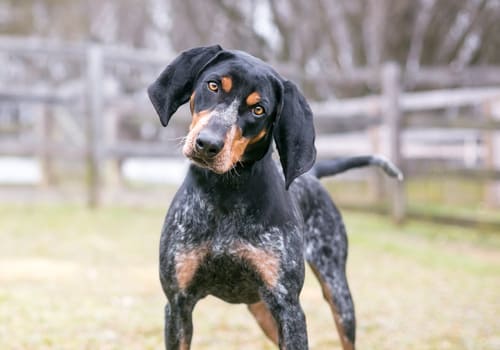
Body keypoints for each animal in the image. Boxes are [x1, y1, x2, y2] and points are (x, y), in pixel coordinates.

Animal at [148, 46, 402, 350]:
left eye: (258, 109)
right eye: (213, 85)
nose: (208, 144)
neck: (224, 192)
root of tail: (313, 174)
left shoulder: (288, 307)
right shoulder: (177, 305)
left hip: (338, 295)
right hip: (262, 310)